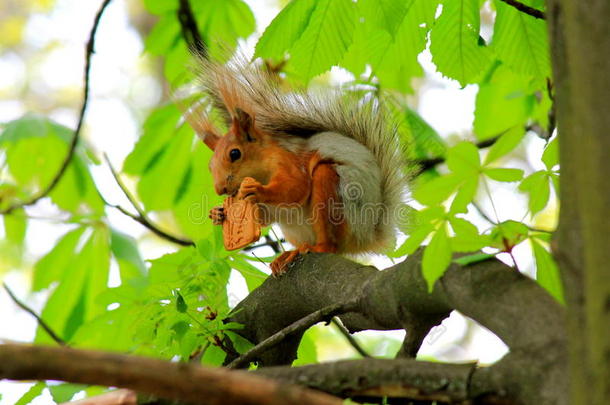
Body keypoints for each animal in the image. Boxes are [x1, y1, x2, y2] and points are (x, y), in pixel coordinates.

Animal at [186, 56, 408, 274]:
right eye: (210, 166)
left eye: (234, 153)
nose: (220, 189)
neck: (261, 170)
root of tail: (367, 236)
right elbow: (266, 216)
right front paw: (217, 213)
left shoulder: (288, 161)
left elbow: (296, 187)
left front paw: (257, 190)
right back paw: (288, 255)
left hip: (334, 200)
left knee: (332, 244)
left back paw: (315, 248)